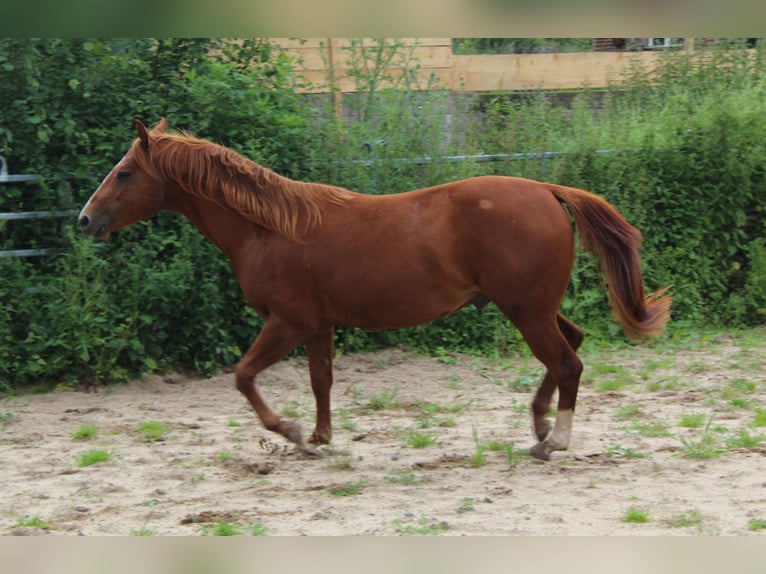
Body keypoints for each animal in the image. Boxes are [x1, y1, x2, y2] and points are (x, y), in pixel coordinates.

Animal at [81, 119, 672, 462]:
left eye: (126, 172)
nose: (87, 220)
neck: (270, 229)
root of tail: (547, 190)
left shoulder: (288, 322)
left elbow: (244, 375)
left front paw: (290, 431)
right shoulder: (318, 325)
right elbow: (321, 381)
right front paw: (320, 437)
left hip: (526, 310)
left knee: (568, 362)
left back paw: (557, 440)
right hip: (533, 308)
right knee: (572, 345)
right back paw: (540, 425)